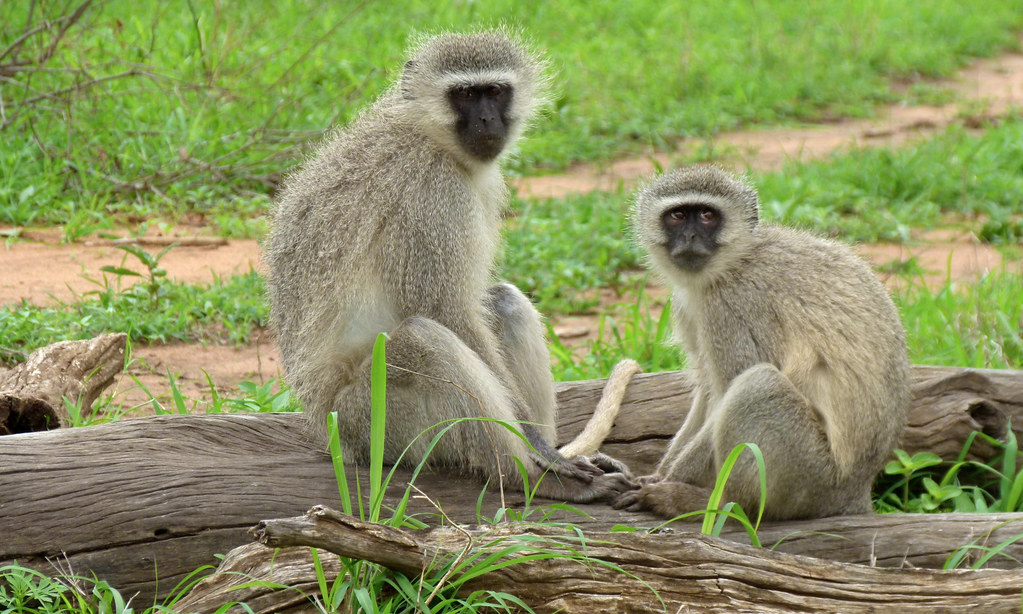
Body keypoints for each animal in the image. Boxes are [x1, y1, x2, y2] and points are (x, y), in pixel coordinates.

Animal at [263, 29, 630, 503]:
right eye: (465, 95)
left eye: (495, 91)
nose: (487, 121)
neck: (427, 132)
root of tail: (329, 433)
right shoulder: (431, 195)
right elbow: (446, 311)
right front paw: (542, 449)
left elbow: (478, 307)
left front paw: (551, 448)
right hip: (372, 422)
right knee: (426, 340)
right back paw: (531, 478)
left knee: (503, 301)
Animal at [613, 165, 912, 519]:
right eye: (677, 215)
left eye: (706, 215)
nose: (690, 238)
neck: (735, 260)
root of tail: (856, 491)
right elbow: (707, 391)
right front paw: (659, 474)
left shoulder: (733, 305)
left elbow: (725, 391)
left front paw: (668, 480)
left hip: (811, 477)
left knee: (758, 385)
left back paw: (713, 504)